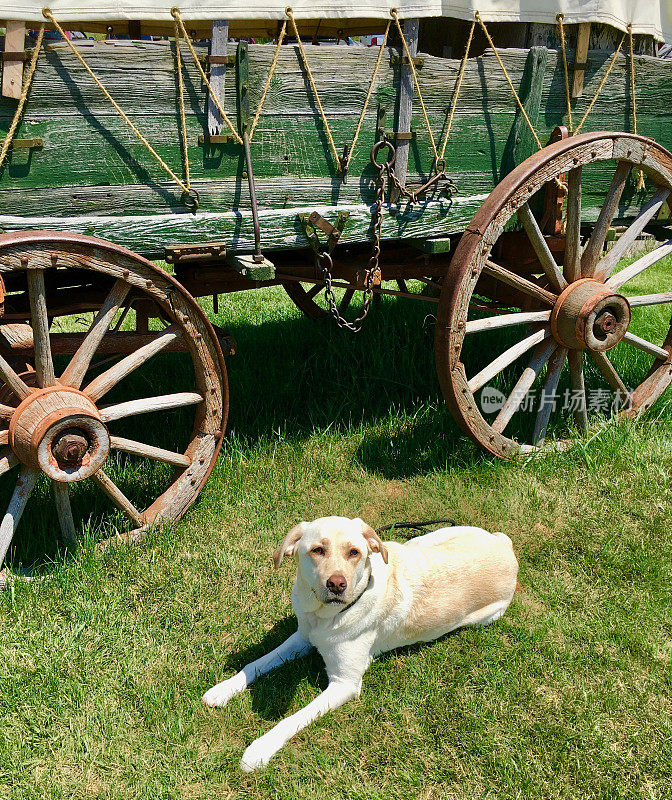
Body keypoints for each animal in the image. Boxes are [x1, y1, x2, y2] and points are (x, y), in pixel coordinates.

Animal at [202, 516, 516, 772]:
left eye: (354, 552)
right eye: (317, 550)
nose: (336, 584)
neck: (325, 617)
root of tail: (507, 547)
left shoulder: (344, 683)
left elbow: (291, 719)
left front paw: (259, 749)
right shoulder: (302, 637)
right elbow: (255, 663)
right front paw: (222, 689)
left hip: (485, 616)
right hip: (424, 539)